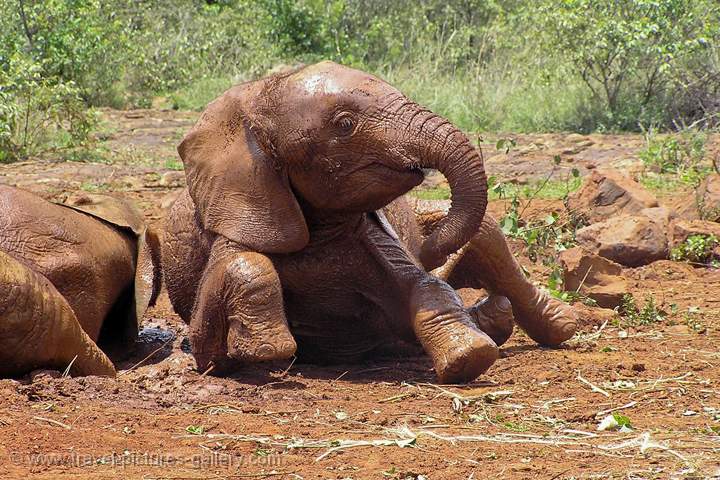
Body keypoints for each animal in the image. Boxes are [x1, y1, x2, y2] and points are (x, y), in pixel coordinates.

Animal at [160, 61, 576, 382]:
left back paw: (556, 324)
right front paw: (266, 348)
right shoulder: (245, 209)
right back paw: (493, 315)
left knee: (491, 240)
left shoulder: (377, 237)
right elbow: (212, 326)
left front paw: (467, 357)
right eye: (345, 124)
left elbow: (426, 285)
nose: (430, 249)